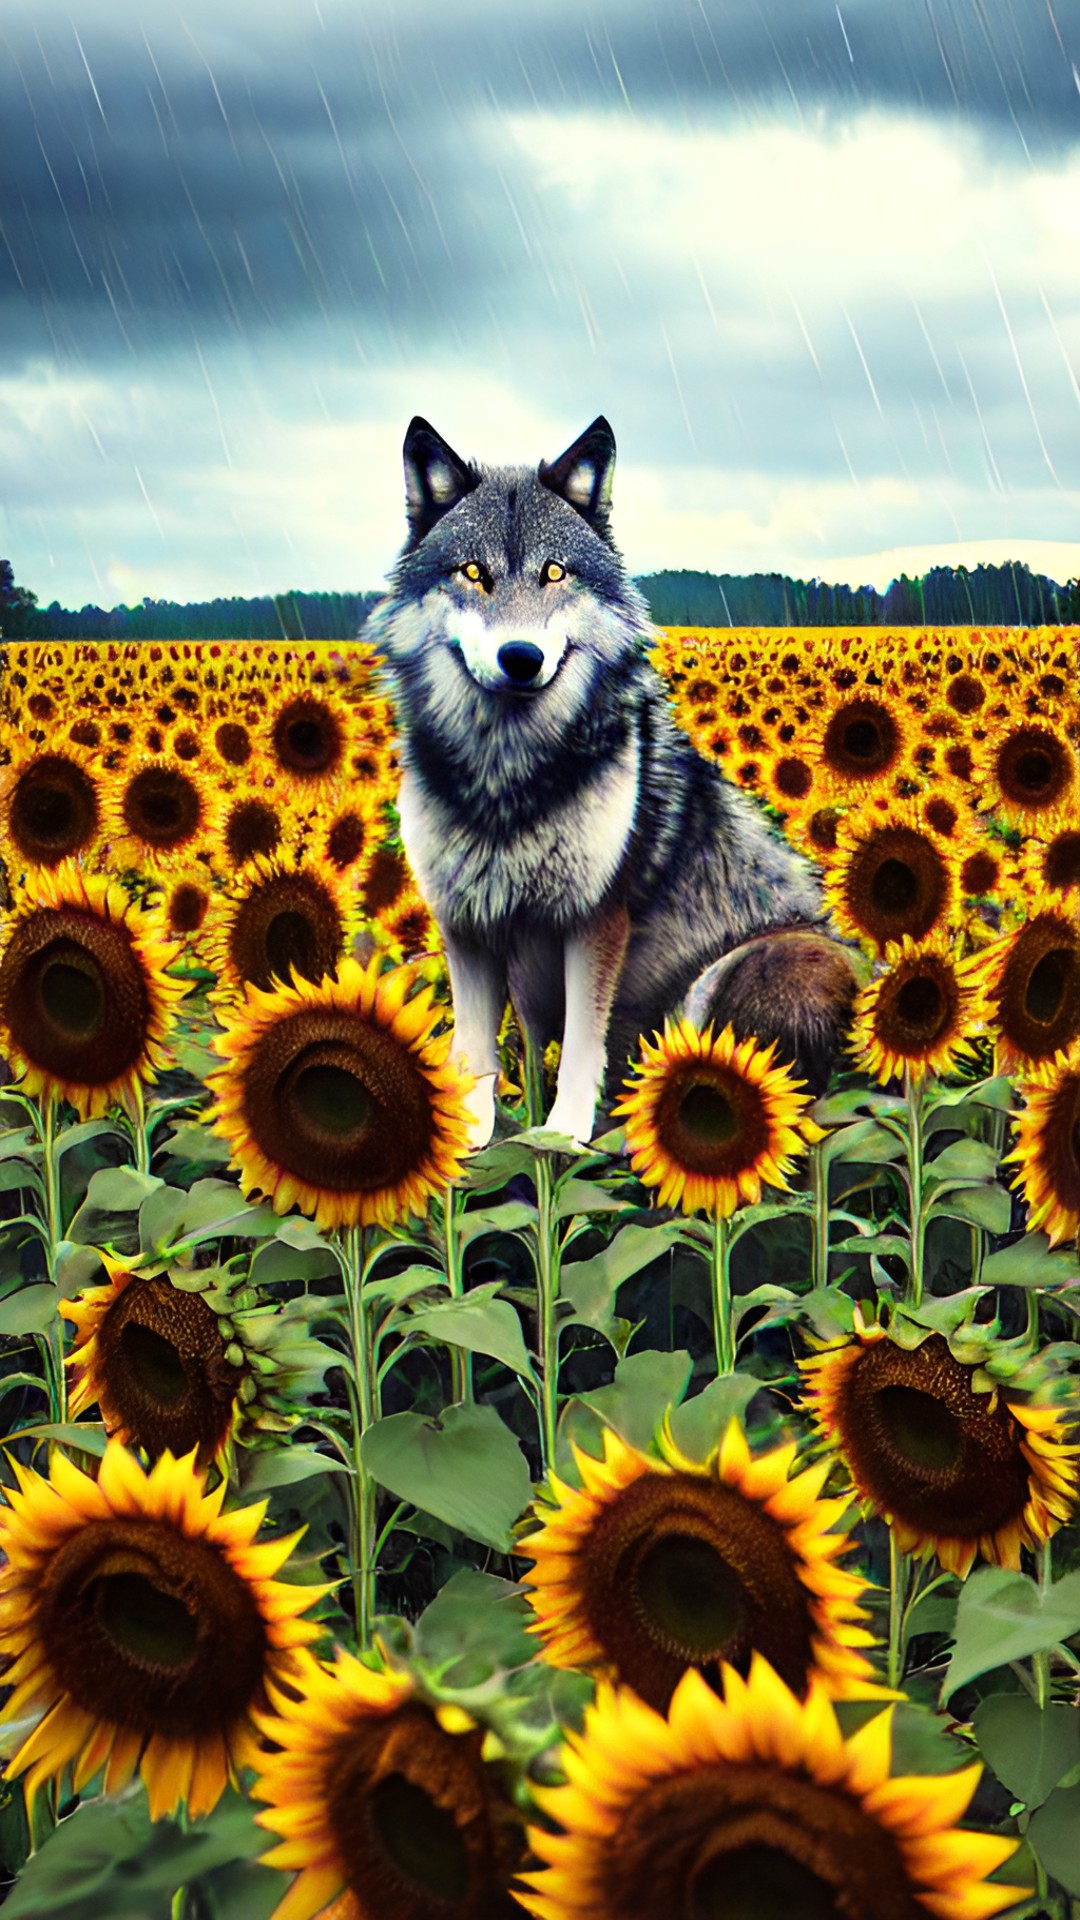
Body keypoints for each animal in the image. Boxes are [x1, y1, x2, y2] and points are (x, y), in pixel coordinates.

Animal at [365, 412, 860, 1144]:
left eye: (554, 572)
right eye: (473, 573)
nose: (520, 657)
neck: (506, 776)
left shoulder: (595, 918)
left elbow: (581, 1043)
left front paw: (562, 1139)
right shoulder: (466, 923)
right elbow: (474, 1050)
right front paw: (471, 1142)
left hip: (750, 965)